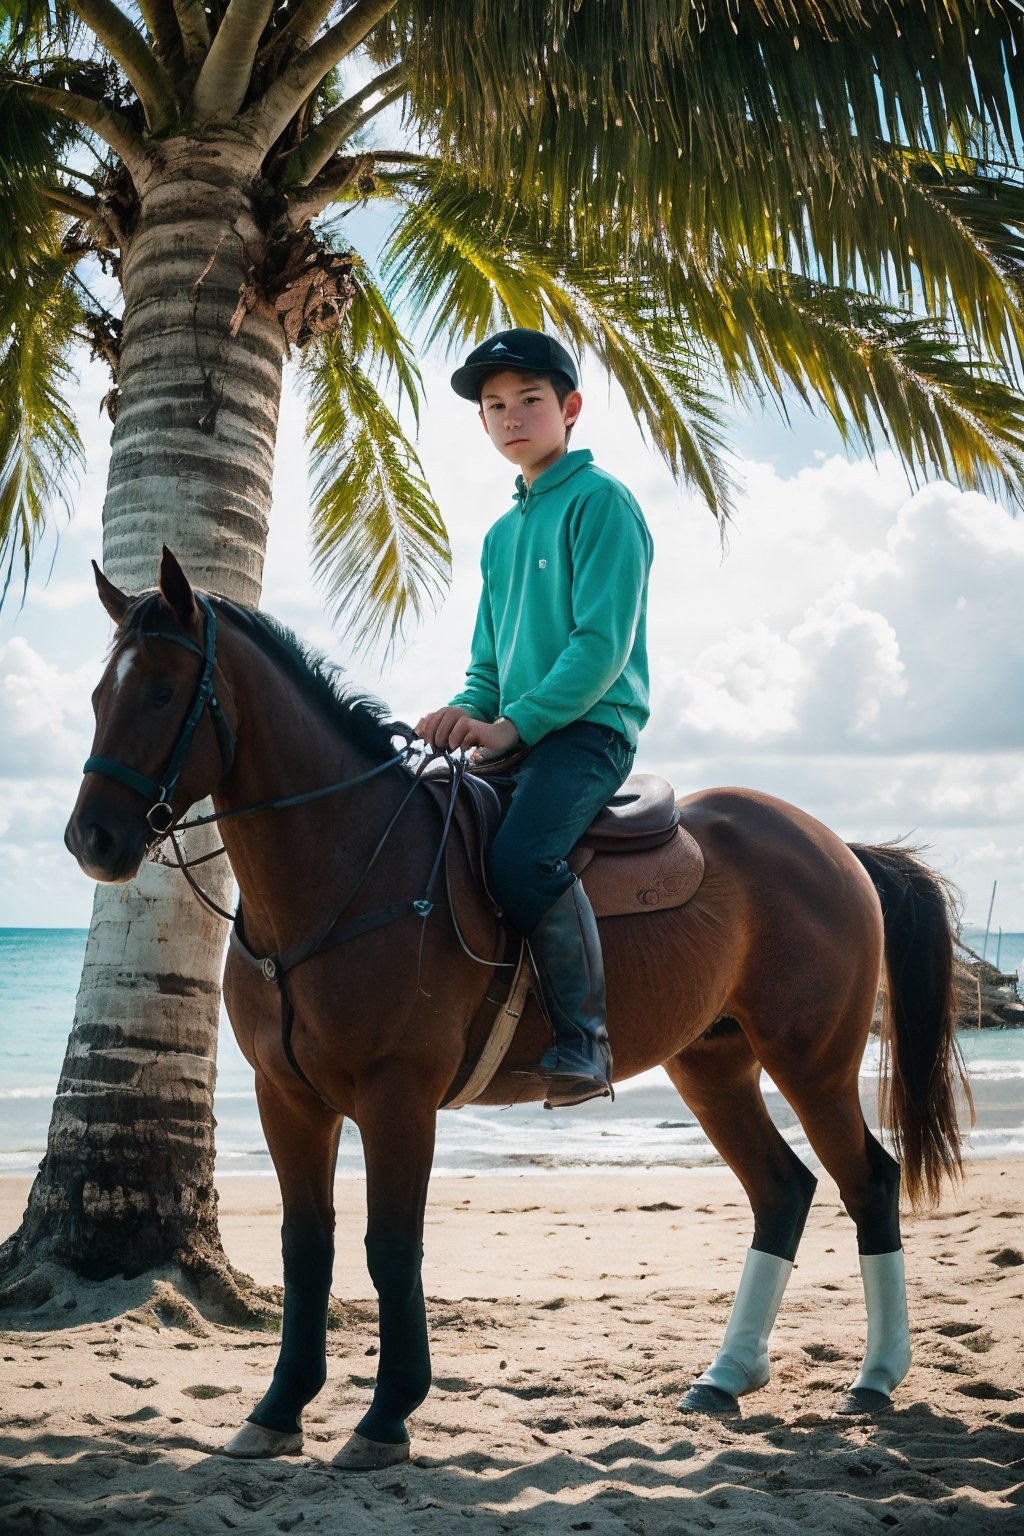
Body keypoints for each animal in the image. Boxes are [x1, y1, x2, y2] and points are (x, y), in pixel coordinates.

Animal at [66, 546, 970, 1468]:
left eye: (162, 694)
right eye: (101, 696)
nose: (90, 839)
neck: (345, 866)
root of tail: (835, 846)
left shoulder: (398, 1097)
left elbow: (392, 1248)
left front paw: (387, 1414)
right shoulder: (287, 1098)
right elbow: (306, 1247)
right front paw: (280, 1408)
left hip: (810, 1063)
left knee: (868, 1182)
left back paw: (878, 1375)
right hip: (713, 1066)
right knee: (782, 1190)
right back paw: (726, 1377)